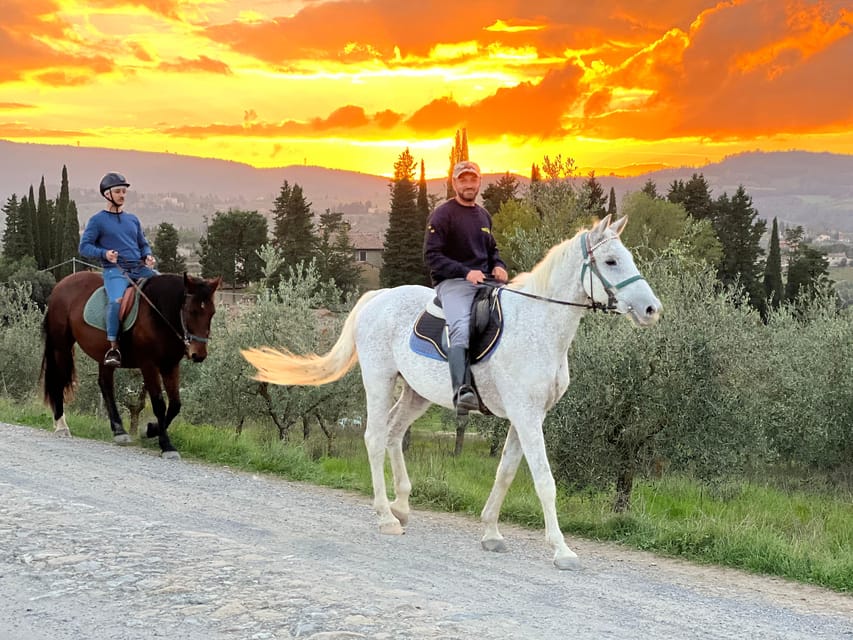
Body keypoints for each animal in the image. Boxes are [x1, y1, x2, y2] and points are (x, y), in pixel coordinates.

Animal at [41, 272, 221, 458]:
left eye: (212, 313)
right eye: (192, 311)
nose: (198, 354)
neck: (158, 313)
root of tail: (62, 283)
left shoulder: (170, 365)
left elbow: (175, 405)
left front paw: (150, 430)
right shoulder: (149, 365)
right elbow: (159, 404)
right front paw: (167, 446)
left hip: (103, 355)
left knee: (106, 386)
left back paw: (119, 431)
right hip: (61, 346)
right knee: (59, 380)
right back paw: (61, 426)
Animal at [243, 216, 664, 568]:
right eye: (611, 261)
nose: (651, 309)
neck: (539, 326)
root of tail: (377, 297)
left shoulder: (526, 417)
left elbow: (505, 474)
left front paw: (491, 532)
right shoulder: (527, 417)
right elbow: (545, 481)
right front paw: (562, 550)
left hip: (416, 394)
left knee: (394, 434)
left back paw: (401, 505)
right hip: (379, 380)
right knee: (375, 437)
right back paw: (385, 516)